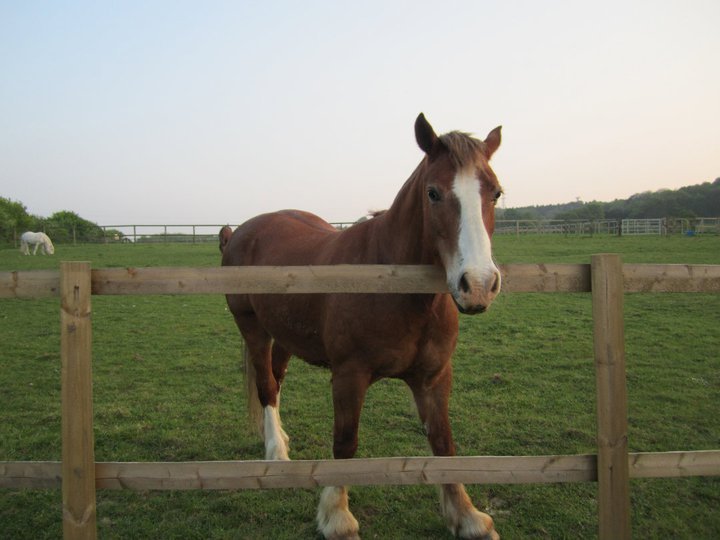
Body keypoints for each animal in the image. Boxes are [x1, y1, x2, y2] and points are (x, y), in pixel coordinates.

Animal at [220, 113, 503, 540]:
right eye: (433, 193)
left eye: (496, 193)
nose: (479, 284)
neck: (394, 286)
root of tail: (239, 232)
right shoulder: (349, 377)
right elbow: (345, 443)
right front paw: (337, 516)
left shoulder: (434, 377)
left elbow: (443, 442)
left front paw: (467, 516)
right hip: (252, 328)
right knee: (266, 386)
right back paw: (277, 453)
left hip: (284, 335)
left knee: (277, 378)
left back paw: (281, 439)